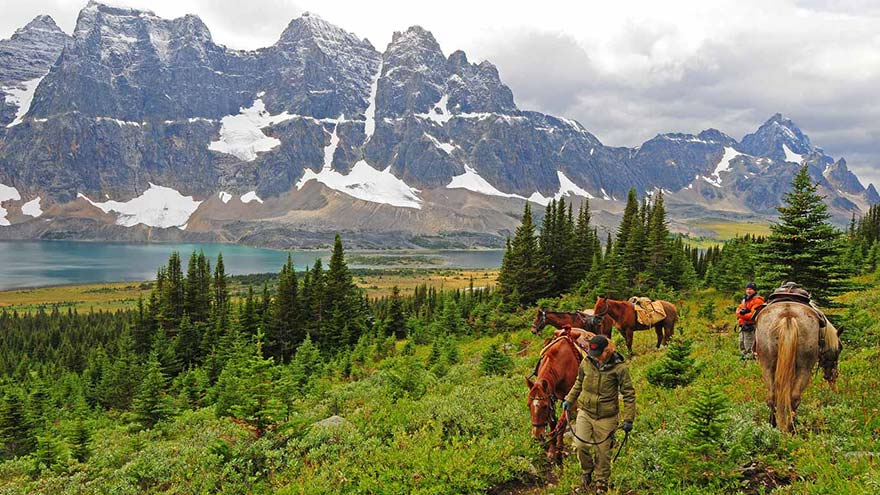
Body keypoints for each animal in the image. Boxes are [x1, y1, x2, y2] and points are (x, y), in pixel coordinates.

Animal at [524, 330, 596, 462]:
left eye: (544, 406)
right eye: (528, 405)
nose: (537, 436)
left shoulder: (568, 399)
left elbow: (562, 424)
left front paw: (559, 449)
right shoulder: (551, 396)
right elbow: (553, 423)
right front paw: (552, 451)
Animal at [752, 300, 844, 432]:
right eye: (840, 348)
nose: (833, 375)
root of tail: (788, 315)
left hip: (767, 367)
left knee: (772, 397)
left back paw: (773, 426)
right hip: (805, 369)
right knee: (794, 397)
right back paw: (792, 428)